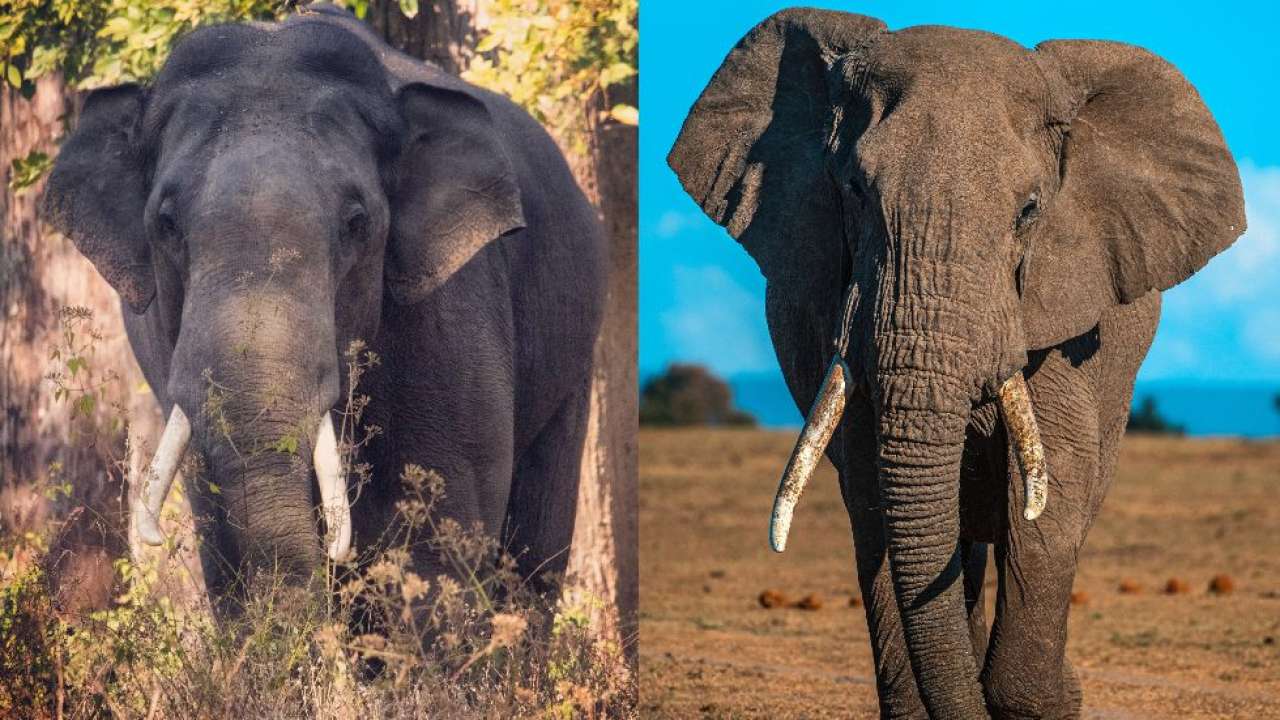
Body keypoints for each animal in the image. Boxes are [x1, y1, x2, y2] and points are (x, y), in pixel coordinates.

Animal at [42, 4, 604, 619]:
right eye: (165, 223)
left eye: (356, 223)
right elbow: (221, 539)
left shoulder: (454, 312)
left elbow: (437, 537)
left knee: (534, 549)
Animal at [669, 9, 1243, 719]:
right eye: (854, 191)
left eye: (1030, 210)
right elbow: (877, 497)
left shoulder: (1056, 314)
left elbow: (1050, 494)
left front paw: (1050, 698)